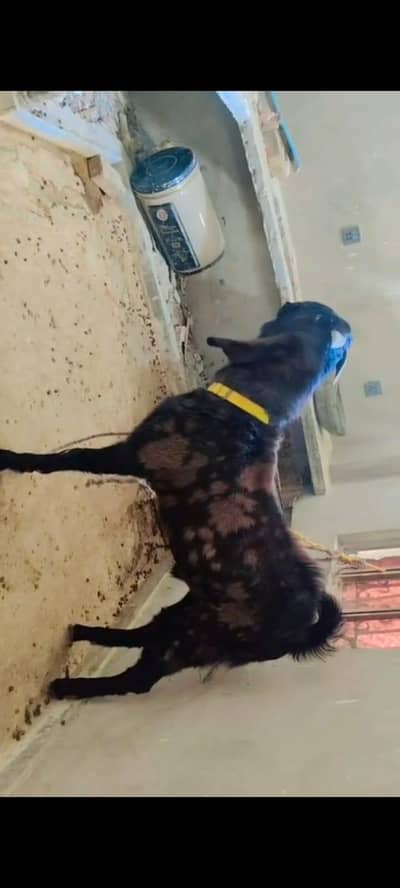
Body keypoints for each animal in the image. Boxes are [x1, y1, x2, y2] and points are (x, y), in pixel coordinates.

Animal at [0, 301, 353, 700]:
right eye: (323, 319)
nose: (293, 303)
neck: (248, 408)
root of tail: (300, 632)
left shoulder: (130, 455)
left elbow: (69, 458)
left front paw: (12, 459)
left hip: (190, 639)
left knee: (137, 680)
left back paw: (70, 685)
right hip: (183, 613)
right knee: (145, 633)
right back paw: (87, 632)